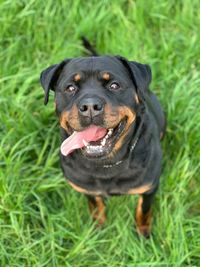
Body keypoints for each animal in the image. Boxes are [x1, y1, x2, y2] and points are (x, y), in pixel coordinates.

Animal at [39, 39, 166, 237]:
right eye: (70, 88)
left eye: (114, 85)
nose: (90, 106)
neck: (106, 164)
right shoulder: (85, 187)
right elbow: (95, 203)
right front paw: (98, 226)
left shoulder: (149, 187)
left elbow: (144, 210)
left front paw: (143, 232)